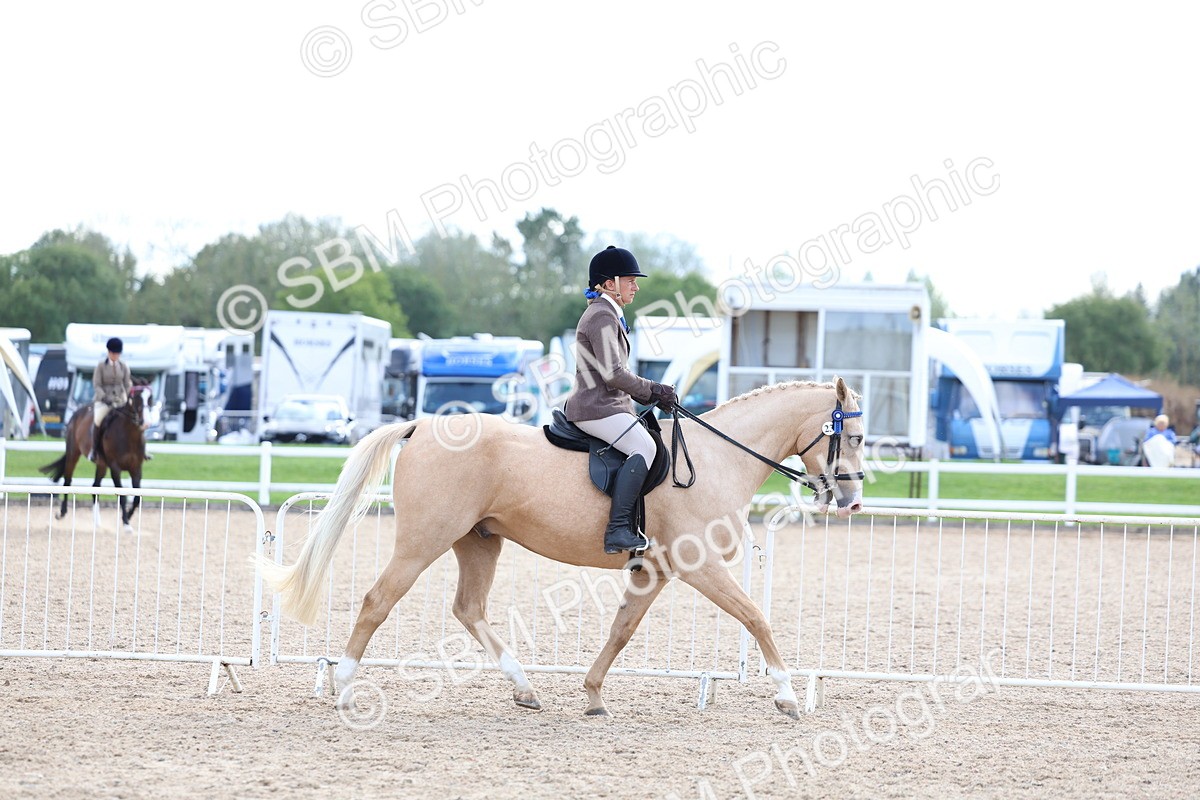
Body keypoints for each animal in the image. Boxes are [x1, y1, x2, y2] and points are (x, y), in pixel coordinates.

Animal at [40, 384, 150, 529]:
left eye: (150, 398)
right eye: (135, 399)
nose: (144, 422)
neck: (129, 436)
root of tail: (78, 412)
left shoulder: (136, 468)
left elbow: (137, 498)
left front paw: (128, 517)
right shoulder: (115, 468)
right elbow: (122, 496)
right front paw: (126, 523)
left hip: (101, 464)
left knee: (95, 486)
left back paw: (97, 522)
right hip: (73, 454)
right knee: (68, 481)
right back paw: (62, 513)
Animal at [259, 377, 865, 719]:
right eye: (854, 437)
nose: (853, 500)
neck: (718, 460)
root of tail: (422, 427)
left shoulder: (654, 572)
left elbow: (621, 630)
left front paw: (593, 695)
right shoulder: (701, 567)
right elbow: (756, 616)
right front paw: (787, 696)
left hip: (478, 541)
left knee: (468, 608)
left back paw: (525, 689)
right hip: (422, 542)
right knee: (377, 602)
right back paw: (343, 688)